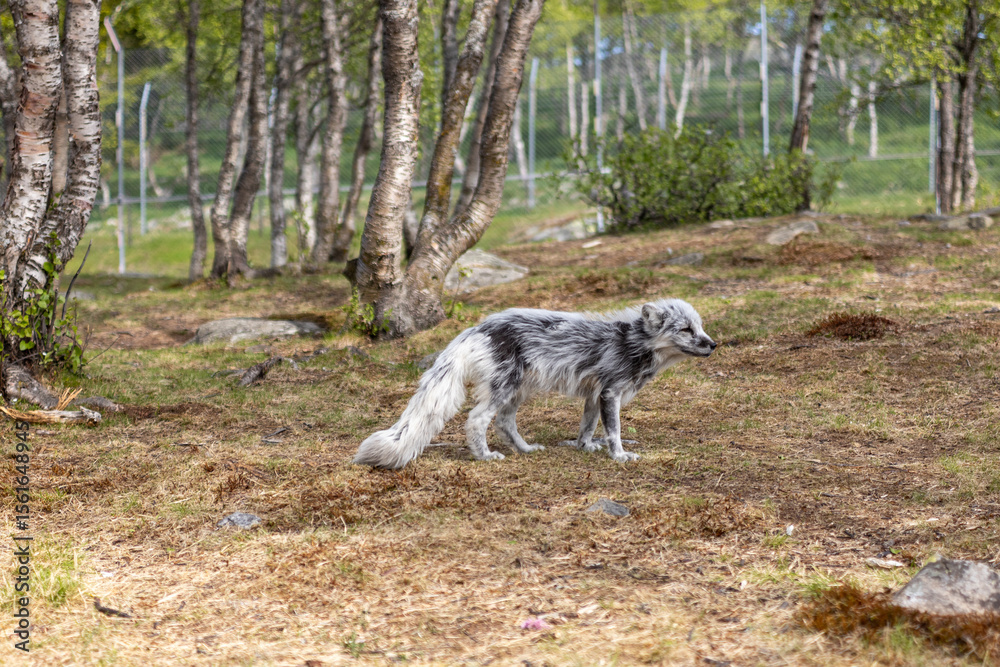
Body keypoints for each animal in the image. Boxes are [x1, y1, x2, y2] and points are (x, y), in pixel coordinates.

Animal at [353, 299, 716, 469]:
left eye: (699, 326)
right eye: (685, 330)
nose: (713, 344)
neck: (632, 343)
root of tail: (477, 328)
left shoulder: (594, 395)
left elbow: (587, 427)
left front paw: (585, 447)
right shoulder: (610, 393)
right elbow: (614, 432)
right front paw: (620, 456)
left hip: (517, 392)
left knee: (504, 424)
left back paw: (525, 450)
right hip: (504, 389)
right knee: (476, 420)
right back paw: (484, 457)